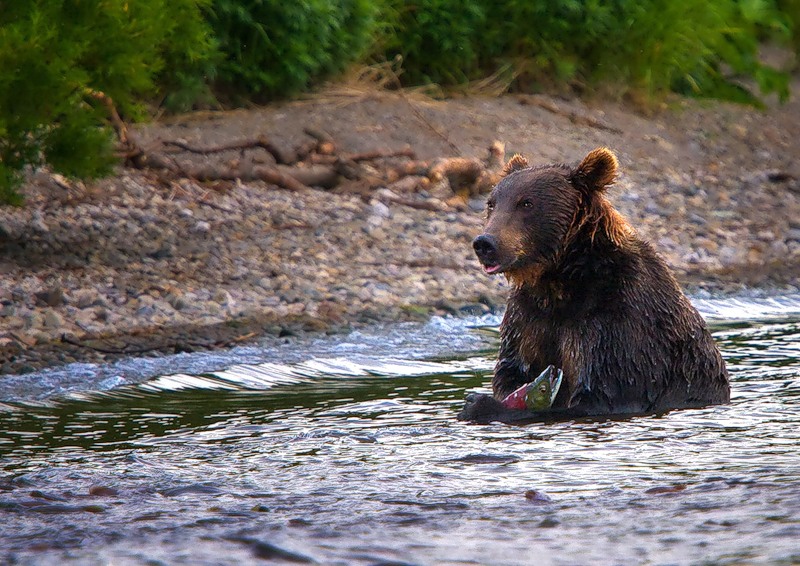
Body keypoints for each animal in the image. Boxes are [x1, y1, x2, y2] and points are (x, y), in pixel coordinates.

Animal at [462, 149, 732, 424]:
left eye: (526, 203)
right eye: (492, 203)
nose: (485, 243)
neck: (560, 278)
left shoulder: (615, 319)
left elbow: (605, 394)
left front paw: (480, 405)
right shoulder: (527, 317)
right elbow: (512, 369)